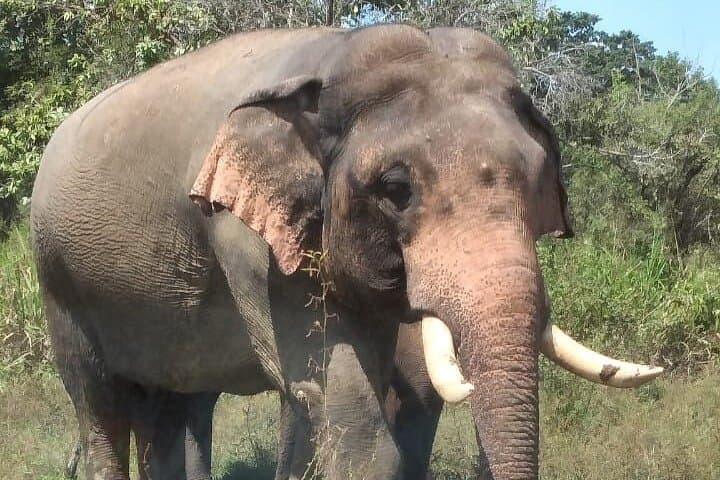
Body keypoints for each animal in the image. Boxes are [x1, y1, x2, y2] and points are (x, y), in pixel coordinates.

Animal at [32, 24, 664, 480]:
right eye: (395, 188)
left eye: (537, 182)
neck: (332, 54)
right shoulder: (247, 242)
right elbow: (334, 394)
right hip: (60, 281)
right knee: (99, 407)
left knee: (177, 408)